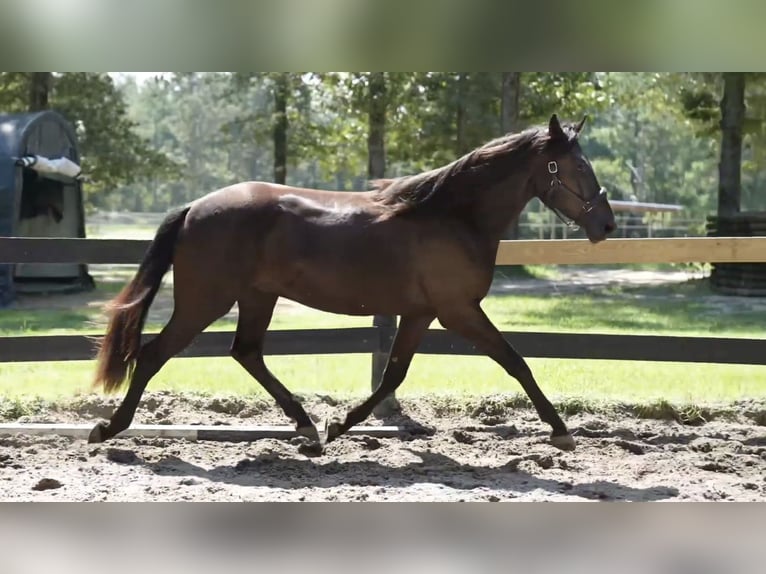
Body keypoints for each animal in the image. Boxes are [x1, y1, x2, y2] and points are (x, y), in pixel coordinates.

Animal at [88, 115, 616, 452]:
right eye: (579, 167)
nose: (607, 224)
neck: (450, 215)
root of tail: (194, 208)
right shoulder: (458, 310)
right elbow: (516, 362)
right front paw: (562, 432)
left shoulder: (422, 313)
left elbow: (393, 376)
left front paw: (339, 425)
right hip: (206, 300)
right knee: (154, 354)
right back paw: (109, 430)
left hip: (257, 297)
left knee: (246, 352)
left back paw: (306, 427)